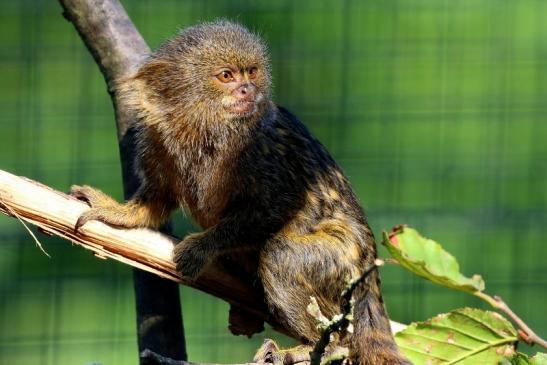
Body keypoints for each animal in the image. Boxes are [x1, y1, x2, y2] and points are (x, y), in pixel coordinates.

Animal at [70, 20, 408, 364]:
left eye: (251, 73)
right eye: (226, 76)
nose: (248, 90)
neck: (204, 128)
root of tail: (369, 273)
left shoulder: (259, 147)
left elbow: (280, 204)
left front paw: (202, 247)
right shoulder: (155, 140)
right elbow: (154, 204)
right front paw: (117, 213)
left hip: (340, 259)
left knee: (281, 257)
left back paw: (321, 345)